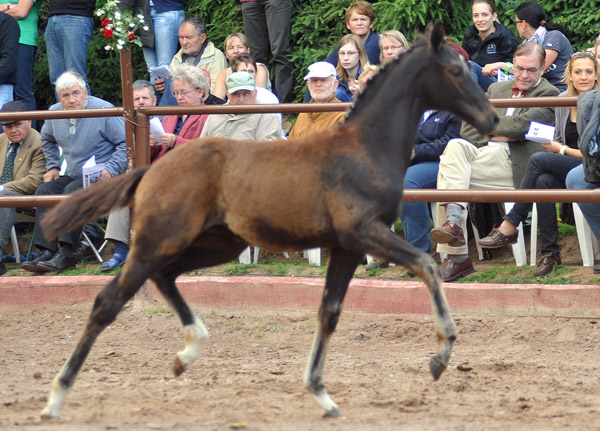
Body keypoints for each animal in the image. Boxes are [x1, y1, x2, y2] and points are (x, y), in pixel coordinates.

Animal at [37, 24, 496, 422]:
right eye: (455, 71)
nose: (491, 119)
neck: (364, 148)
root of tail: (150, 168)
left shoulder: (347, 246)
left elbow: (329, 312)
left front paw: (322, 395)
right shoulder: (363, 232)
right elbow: (426, 265)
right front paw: (440, 356)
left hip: (216, 243)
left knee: (164, 276)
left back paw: (187, 352)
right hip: (159, 240)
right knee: (107, 301)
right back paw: (56, 398)